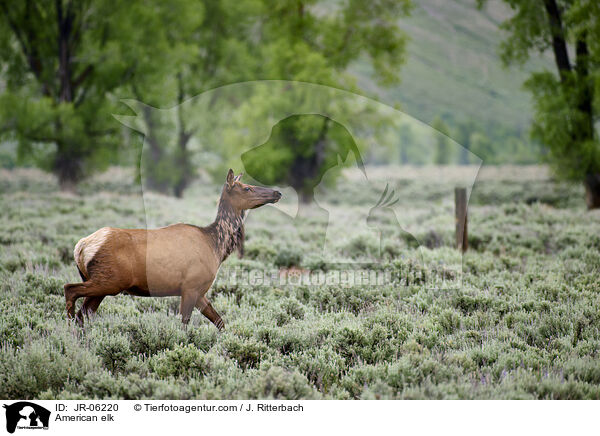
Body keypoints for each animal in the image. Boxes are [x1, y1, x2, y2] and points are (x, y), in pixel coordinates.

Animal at [64, 170, 280, 330]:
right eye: (247, 188)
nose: (277, 193)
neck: (216, 248)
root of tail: (81, 246)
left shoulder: (199, 291)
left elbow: (220, 321)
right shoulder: (190, 286)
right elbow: (184, 324)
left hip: (102, 283)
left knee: (84, 313)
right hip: (110, 281)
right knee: (70, 290)